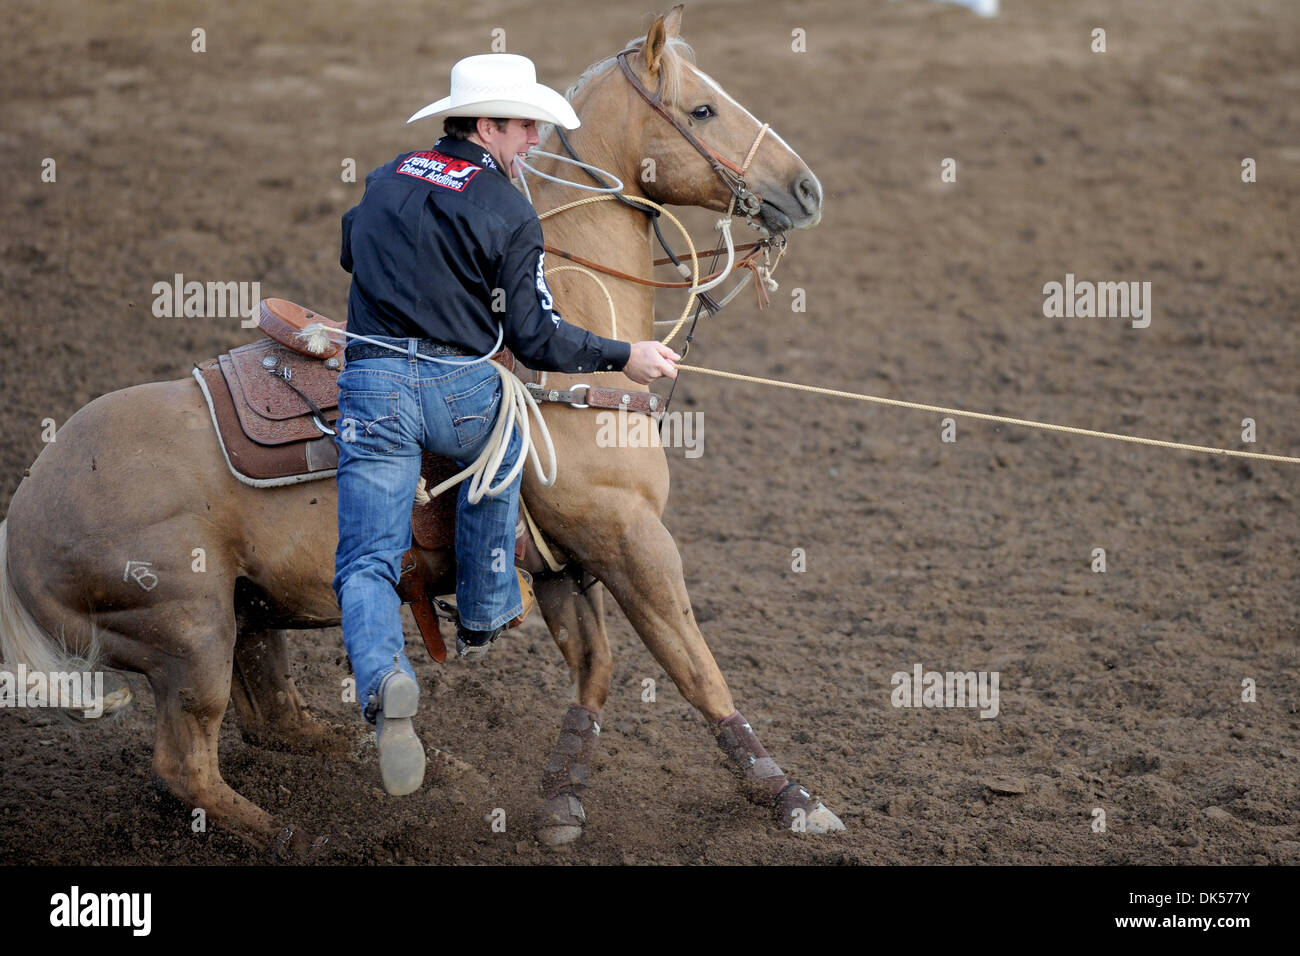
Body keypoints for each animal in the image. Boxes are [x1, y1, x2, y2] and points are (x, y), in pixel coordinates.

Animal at [0, 5, 842, 858]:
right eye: (701, 109)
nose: (807, 188)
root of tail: (24, 514)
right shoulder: (630, 537)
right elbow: (695, 669)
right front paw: (789, 797)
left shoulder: (562, 561)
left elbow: (595, 668)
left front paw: (563, 795)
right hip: (190, 635)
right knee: (186, 764)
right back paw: (299, 833)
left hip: (246, 613)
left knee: (273, 719)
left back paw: (388, 756)